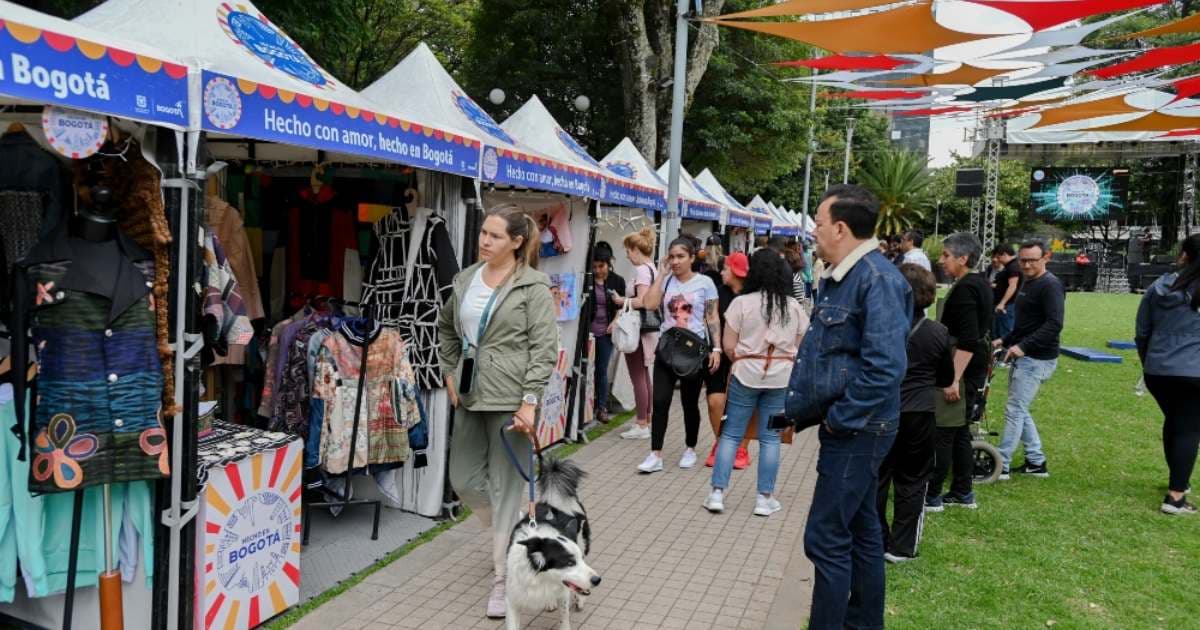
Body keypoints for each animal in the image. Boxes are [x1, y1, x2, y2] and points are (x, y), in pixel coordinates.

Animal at [504, 456, 600, 628]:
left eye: (578, 560)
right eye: (569, 563)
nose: (597, 580)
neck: (541, 579)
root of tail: (554, 500)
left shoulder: (563, 592)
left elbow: (564, 617)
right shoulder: (512, 600)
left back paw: (580, 599)